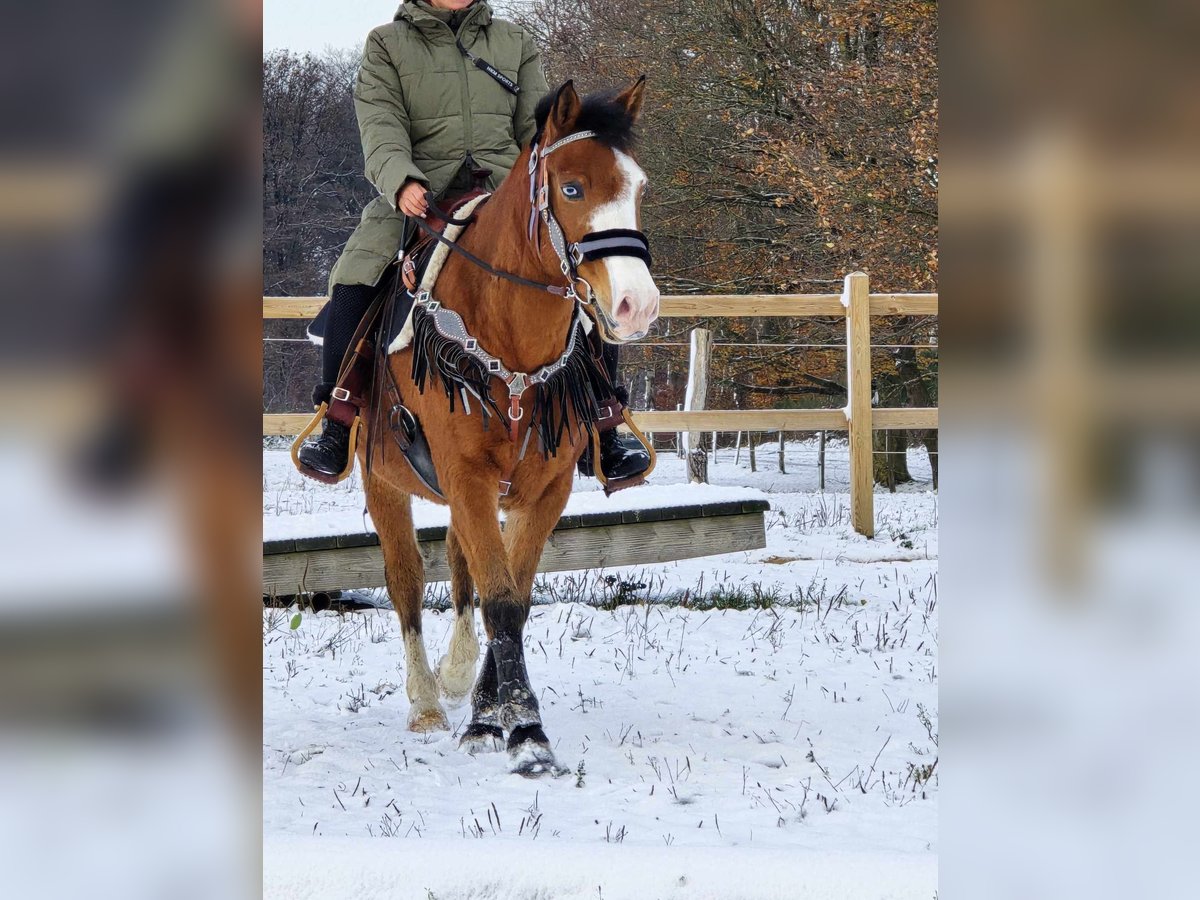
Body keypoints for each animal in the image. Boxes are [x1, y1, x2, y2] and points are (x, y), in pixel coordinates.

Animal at [360, 81, 662, 777]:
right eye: (572, 188)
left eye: (637, 187)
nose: (636, 305)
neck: (508, 341)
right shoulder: (466, 477)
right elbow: (498, 598)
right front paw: (522, 730)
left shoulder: (544, 488)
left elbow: (513, 599)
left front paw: (488, 714)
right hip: (382, 483)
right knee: (406, 581)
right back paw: (425, 701)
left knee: (460, 565)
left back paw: (456, 677)